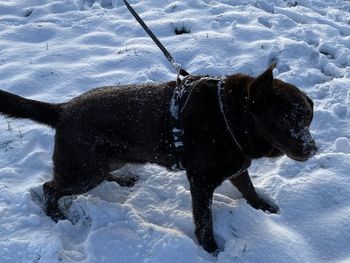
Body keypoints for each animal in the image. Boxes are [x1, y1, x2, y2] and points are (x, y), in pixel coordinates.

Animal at [0, 63, 318, 254]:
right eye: (286, 118)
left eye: (308, 117)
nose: (312, 148)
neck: (230, 116)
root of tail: (62, 109)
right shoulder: (201, 182)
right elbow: (204, 220)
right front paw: (211, 249)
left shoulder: (237, 166)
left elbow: (249, 189)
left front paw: (262, 205)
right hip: (83, 171)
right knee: (50, 188)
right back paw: (56, 215)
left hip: (102, 162)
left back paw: (121, 180)